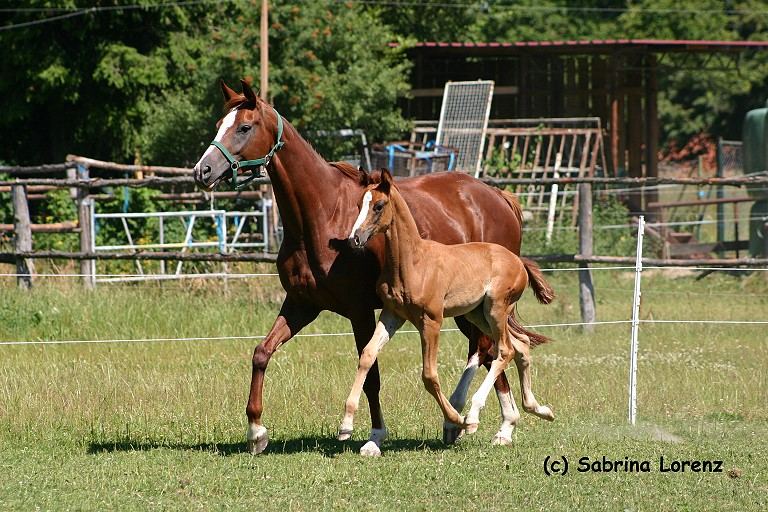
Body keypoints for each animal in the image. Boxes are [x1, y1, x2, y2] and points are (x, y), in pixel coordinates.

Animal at [340, 171, 556, 456]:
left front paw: (457, 419)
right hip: (478, 314)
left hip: (496, 309)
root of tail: (519, 261)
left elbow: (429, 375)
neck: (413, 263)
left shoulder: (431, 320)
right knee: (520, 345)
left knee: (504, 350)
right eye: (358, 205)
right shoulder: (392, 315)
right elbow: (367, 355)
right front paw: (345, 425)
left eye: (378, 205)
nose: (355, 238)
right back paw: (539, 409)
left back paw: (473, 416)